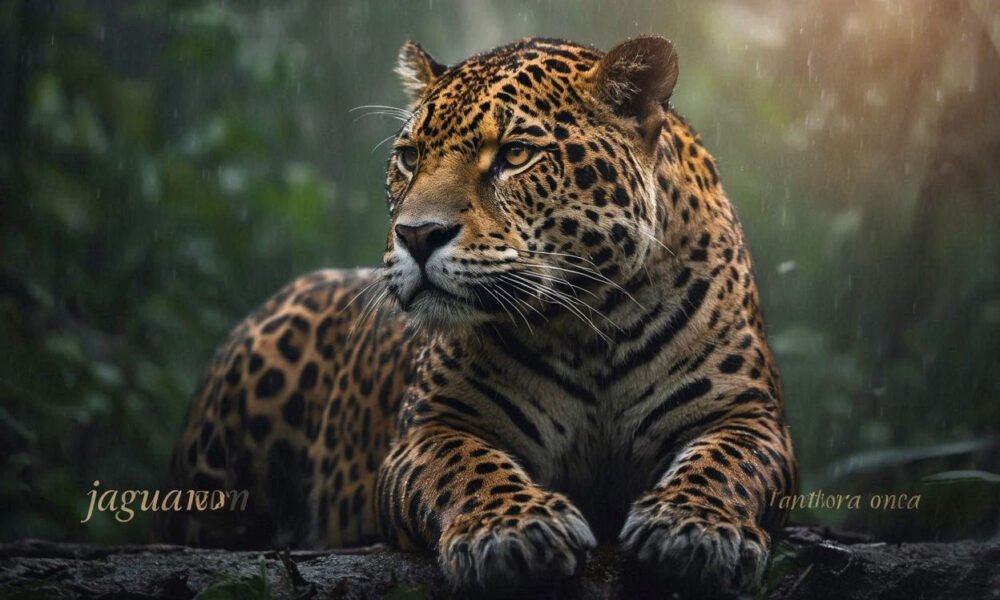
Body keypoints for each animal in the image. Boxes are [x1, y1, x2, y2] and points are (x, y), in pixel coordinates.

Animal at [163, 36, 797, 597]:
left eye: (515, 154)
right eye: (409, 158)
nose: (417, 235)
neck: (590, 327)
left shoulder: (748, 414)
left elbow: (725, 462)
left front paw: (693, 530)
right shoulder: (429, 427)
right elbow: (466, 464)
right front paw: (516, 531)